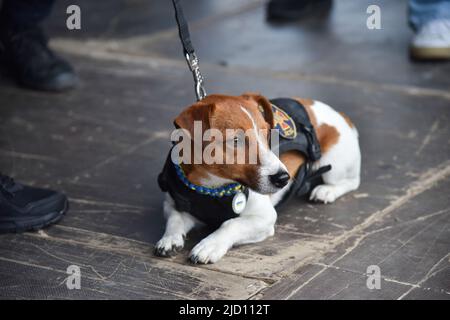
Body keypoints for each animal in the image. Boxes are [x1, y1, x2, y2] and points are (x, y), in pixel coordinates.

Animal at [156, 92, 360, 262]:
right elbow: (174, 219)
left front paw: (210, 245)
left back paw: (326, 191)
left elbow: (231, 224)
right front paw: (170, 238)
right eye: (235, 140)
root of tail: (340, 115)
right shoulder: (172, 204)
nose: (284, 178)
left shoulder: (265, 217)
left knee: (351, 182)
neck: (211, 187)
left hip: (334, 164)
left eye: (267, 134)